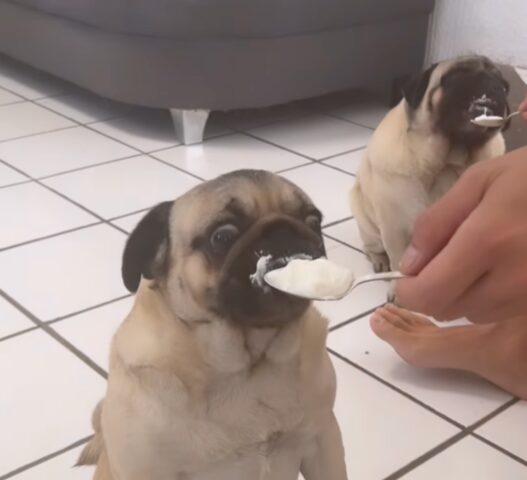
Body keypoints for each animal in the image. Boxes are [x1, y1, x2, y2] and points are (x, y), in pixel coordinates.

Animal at [352, 54, 510, 272]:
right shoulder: (396, 230)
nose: (490, 83)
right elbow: (399, 262)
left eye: (503, 85)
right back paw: (379, 261)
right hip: (369, 226)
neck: (449, 163)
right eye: (454, 76)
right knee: (371, 247)